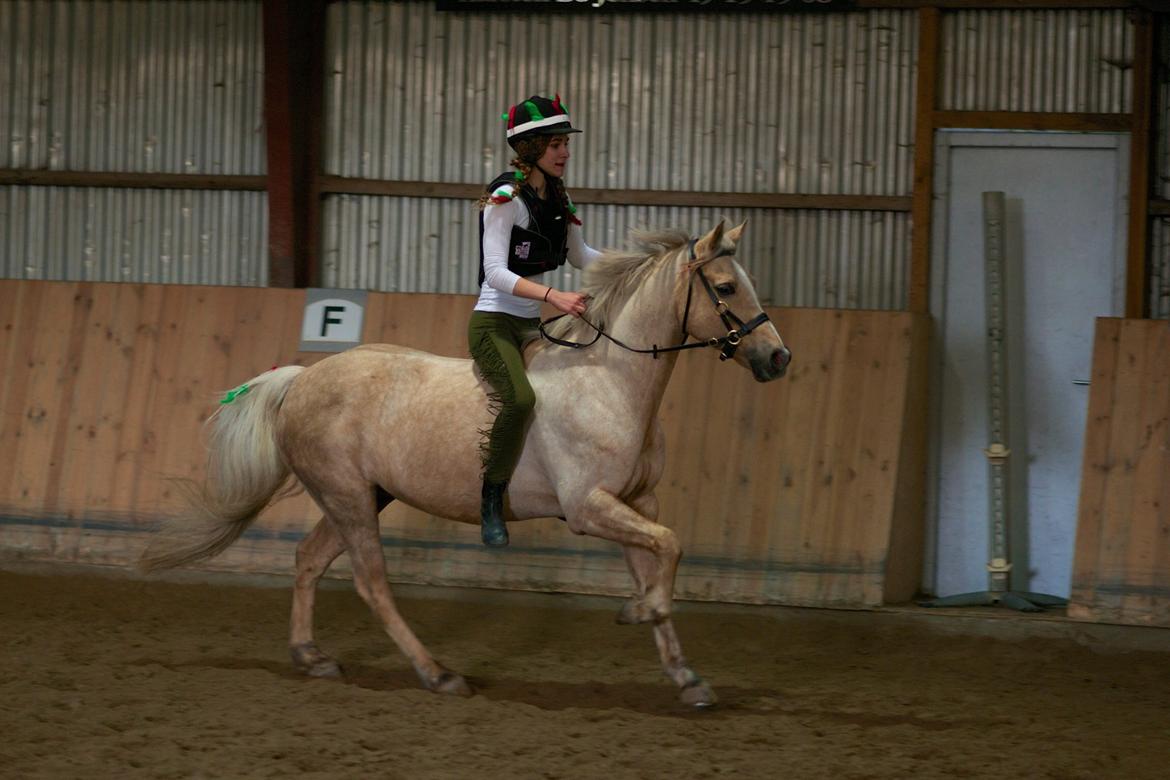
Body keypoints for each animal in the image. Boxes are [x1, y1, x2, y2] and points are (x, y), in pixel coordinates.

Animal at [141, 218, 790, 706]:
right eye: (726, 288)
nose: (777, 358)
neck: (609, 379)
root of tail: (302, 377)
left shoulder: (635, 500)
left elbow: (655, 557)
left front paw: (683, 672)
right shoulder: (590, 508)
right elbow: (669, 549)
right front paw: (643, 612)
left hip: (361, 494)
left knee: (308, 560)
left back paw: (312, 657)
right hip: (348, 496)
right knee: (371, 581)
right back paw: (438, 673)